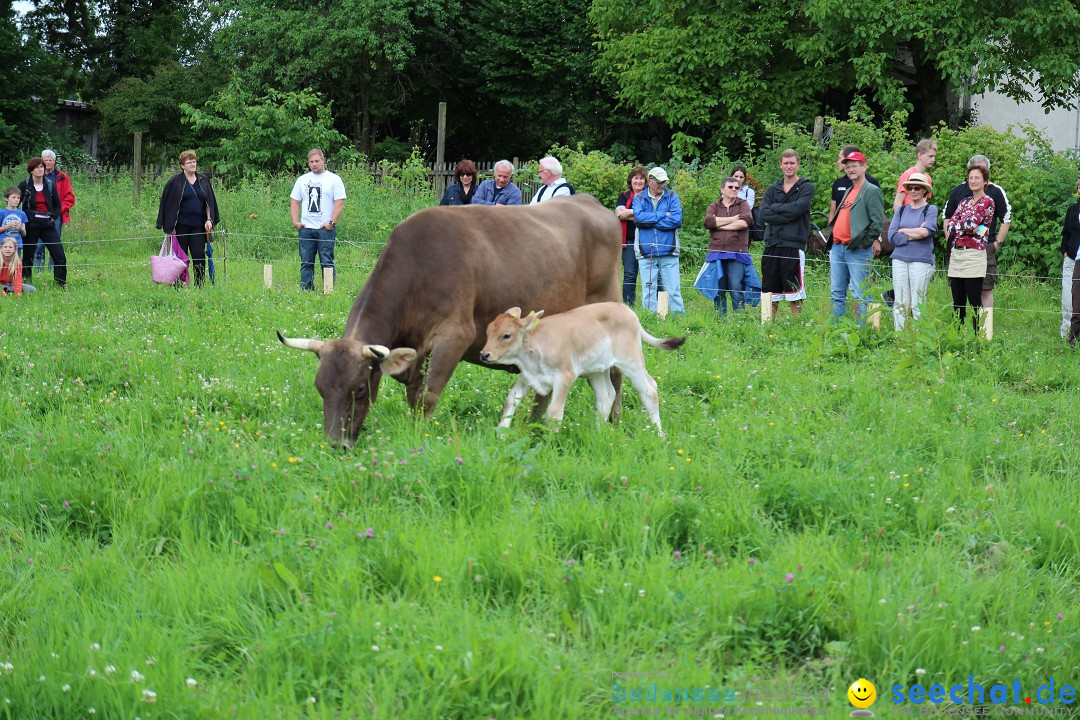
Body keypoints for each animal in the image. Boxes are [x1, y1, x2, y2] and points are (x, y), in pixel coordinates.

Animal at [278, 197, 622, 444]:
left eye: (360, 389)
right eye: (320, 388)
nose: (336, 444)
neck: (419, 265)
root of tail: (590, 202)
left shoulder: (455, 336)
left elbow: (426, 398)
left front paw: (416, 437)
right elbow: (414, 395)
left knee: (616, 374)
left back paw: (614, 421)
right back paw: (532, 427)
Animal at [481, 300, 682, 433]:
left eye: (506, 335)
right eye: (489, 331)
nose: (484, 354)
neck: (536, 344)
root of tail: (625, 309)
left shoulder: (564, 377)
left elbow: (554, 413)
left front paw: (550, 444)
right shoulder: (528, 376)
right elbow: (511, 399)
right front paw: (501, 433)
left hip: (631, 361)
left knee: (649, 389)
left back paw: (659, 433)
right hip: (598, 369)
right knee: (606, 396)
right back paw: (599, 432)